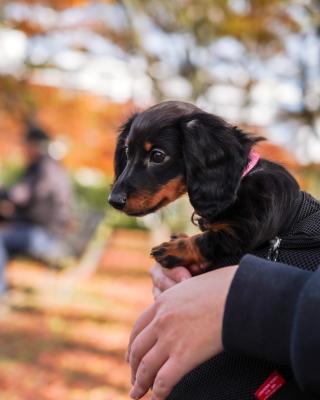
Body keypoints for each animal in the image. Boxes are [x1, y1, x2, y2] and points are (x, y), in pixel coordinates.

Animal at [108, 100, 300, 270]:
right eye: (127, 151)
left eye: (157, 156)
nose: (113, 201)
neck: (240, 183)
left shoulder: (246, 230)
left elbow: (207, 240)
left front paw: (175, 248)